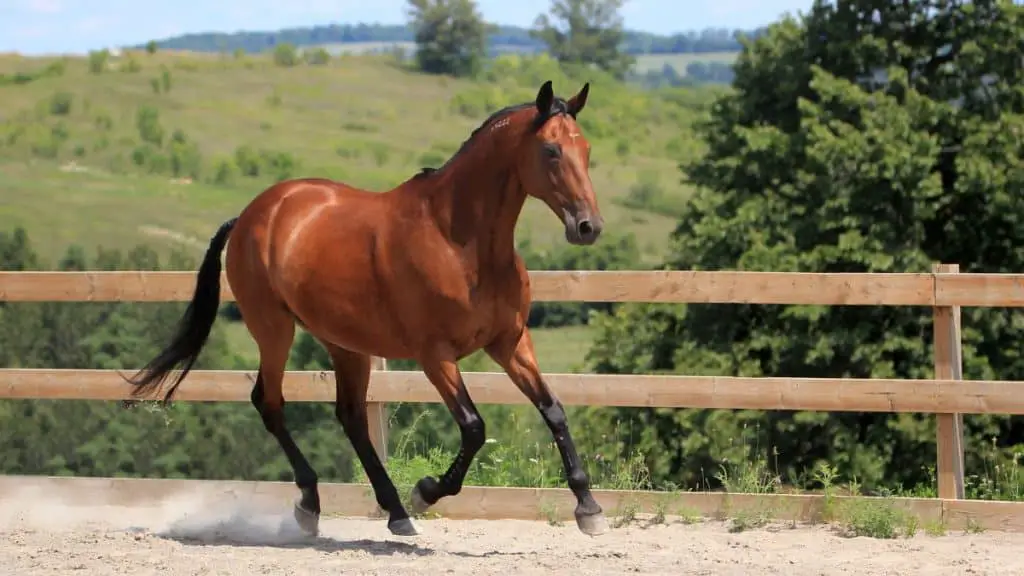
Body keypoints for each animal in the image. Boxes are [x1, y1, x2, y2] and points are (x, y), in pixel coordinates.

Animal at [125, 80, 606, 537]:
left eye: (586, 150)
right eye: (550, 151)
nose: (588, 227)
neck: (458, 242)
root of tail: (249, 216)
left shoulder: (510, 343)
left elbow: (553, 410)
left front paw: (589, 508)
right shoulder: (435, 355)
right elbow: (474, 427)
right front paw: (426, 491)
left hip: (345, 343)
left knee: (350, 416)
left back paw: (394, 513)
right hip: (274, 329)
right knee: (270, 402)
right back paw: (313, 505)